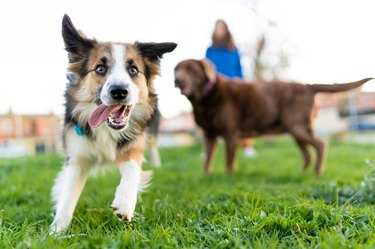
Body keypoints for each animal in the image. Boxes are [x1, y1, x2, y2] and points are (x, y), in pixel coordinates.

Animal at [50, 15, 178, 233]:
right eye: (100, 68)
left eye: (133, 70)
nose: (119, 91)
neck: (105, 129)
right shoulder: (76, 157)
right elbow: (67, 196)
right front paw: (57, 231)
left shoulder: (133, 145)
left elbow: (132, 168)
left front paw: (125, 202)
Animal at [176, 58, 374, 175]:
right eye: (176, 69)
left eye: (191, 69)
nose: (177, 79)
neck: (205, 97)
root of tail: (309, 86)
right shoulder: (209, 136)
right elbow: (208, 159)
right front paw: (205, 177)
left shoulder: (231, 134)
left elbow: (229, 161)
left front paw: (227, 177)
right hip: (297, 131)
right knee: (308, 153)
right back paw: (301, 173)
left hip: (297, 127)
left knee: (320, 145)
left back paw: (317, 172)